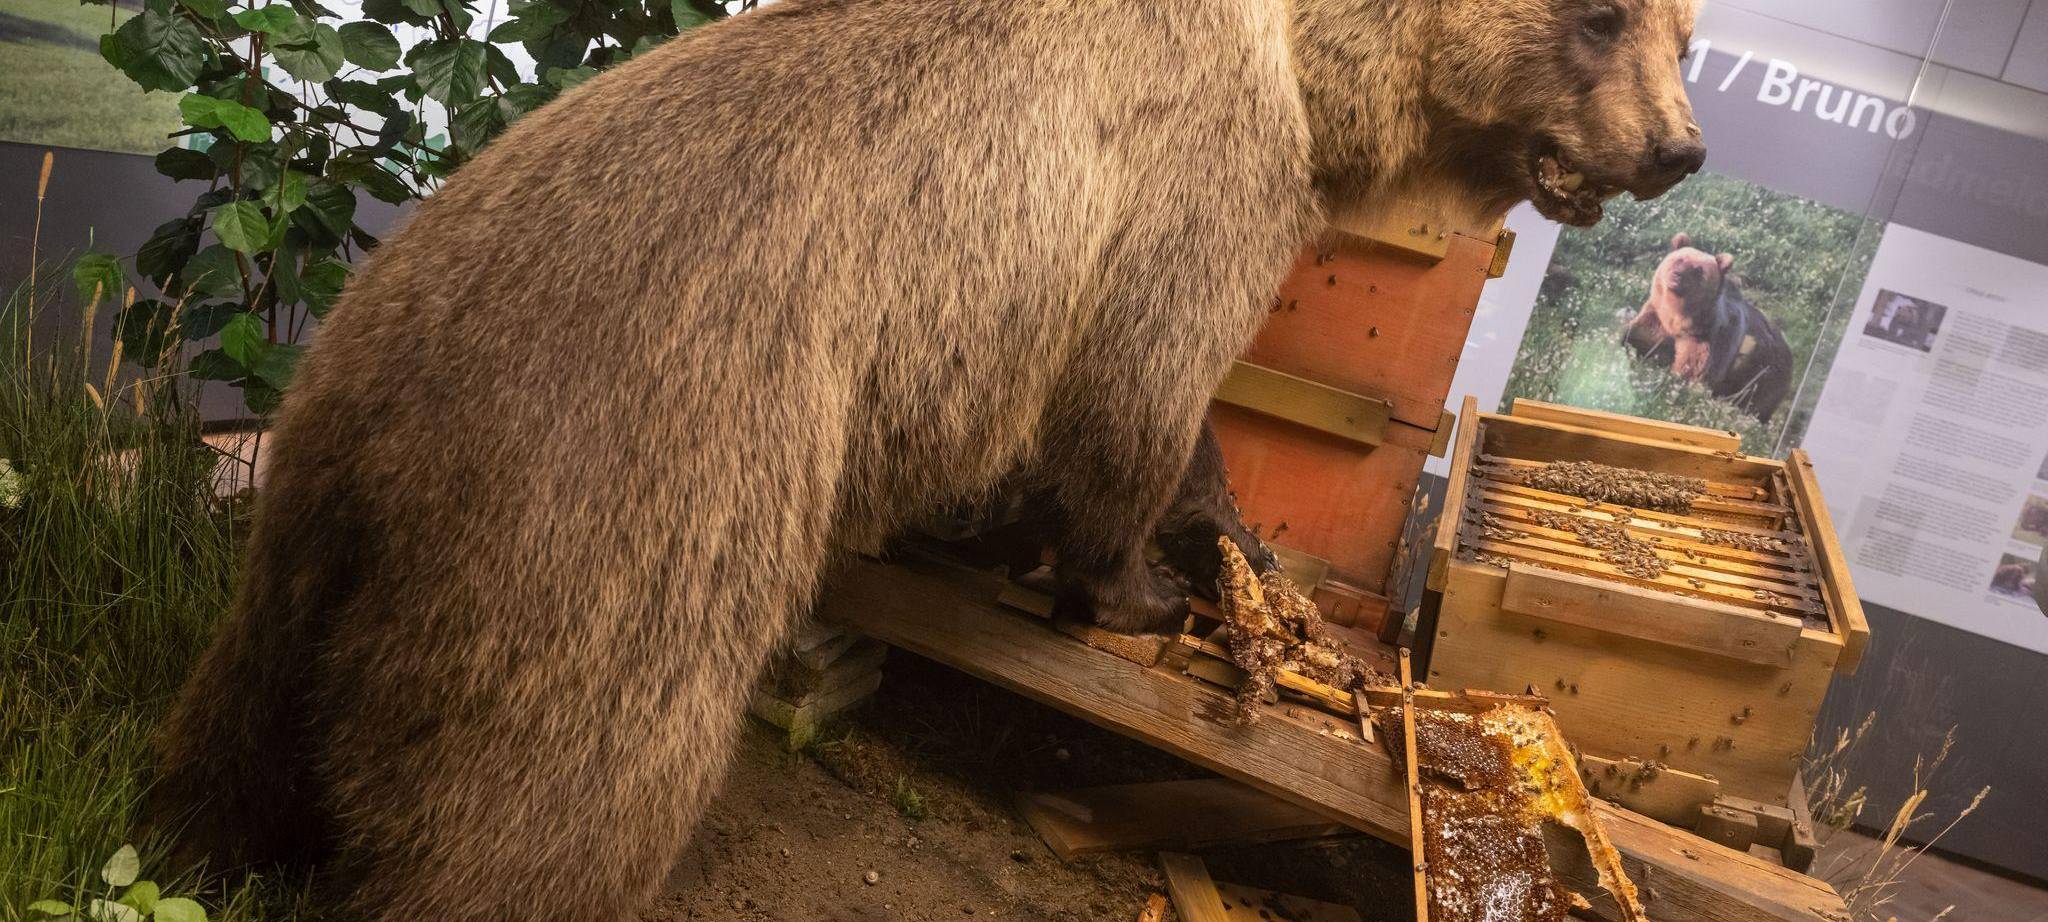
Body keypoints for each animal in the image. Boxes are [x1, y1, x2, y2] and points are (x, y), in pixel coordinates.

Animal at [147, 1, 1706, 919]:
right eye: (1605, 16)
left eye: (1682, 30)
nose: (1679, 149)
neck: (1313, 70)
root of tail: (380, 415)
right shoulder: (1196, 178)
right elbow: (1144, 388)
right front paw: (1139, 577)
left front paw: (1224, 548)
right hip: (638, 493)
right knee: (554, 785)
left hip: (321, 482)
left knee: (238, 715)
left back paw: (200, 835)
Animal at [1623, 233, 1795, 422]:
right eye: (1679, 259)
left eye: (1698, 269)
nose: (1677, 275)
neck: (1678, 318)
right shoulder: (1658, 317)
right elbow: (1643, 335)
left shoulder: (1708, 337)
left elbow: (1693, 367)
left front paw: (1675, 381)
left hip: (1763, 376)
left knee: (1754, 404)